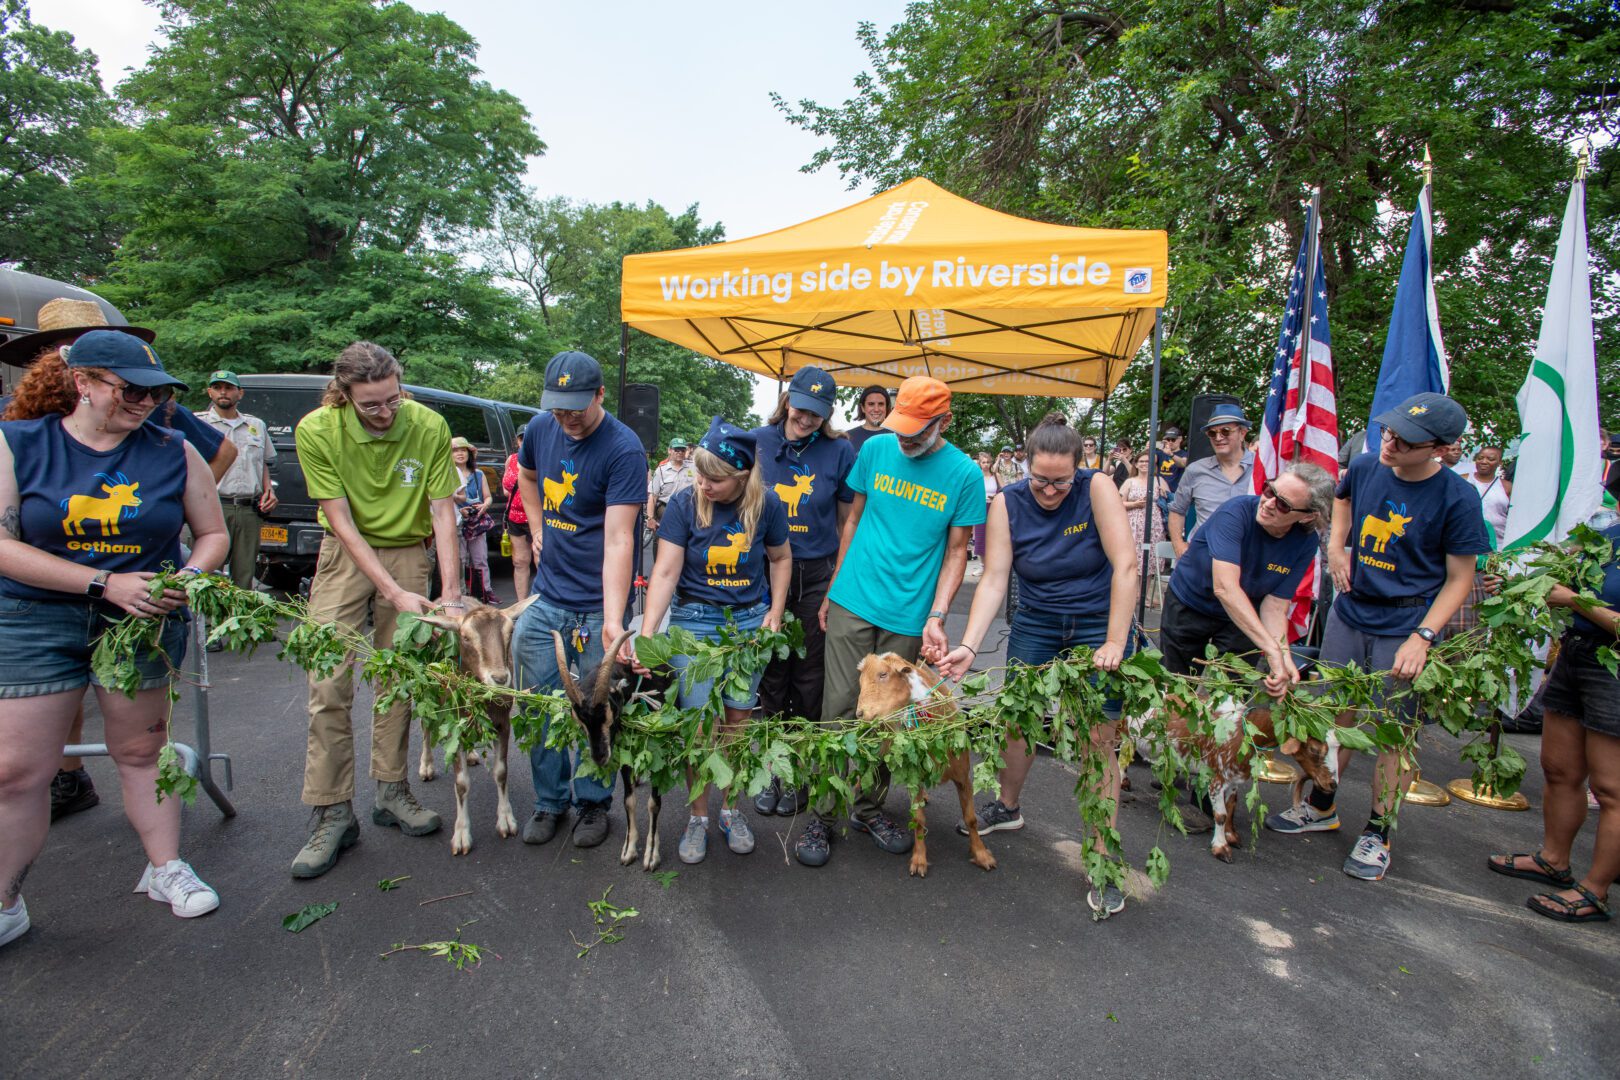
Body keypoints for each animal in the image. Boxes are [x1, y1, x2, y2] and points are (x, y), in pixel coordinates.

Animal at [417, 595, 537, 854]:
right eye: (465, 637)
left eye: (510, 631)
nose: (500, 678)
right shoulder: (454, 725)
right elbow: (461, 783)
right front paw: (461, 835)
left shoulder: (502, 722)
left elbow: (501, 772)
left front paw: (506, 821)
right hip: (426, 690)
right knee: (425, 724)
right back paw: (426, 767)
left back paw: (471, 755)